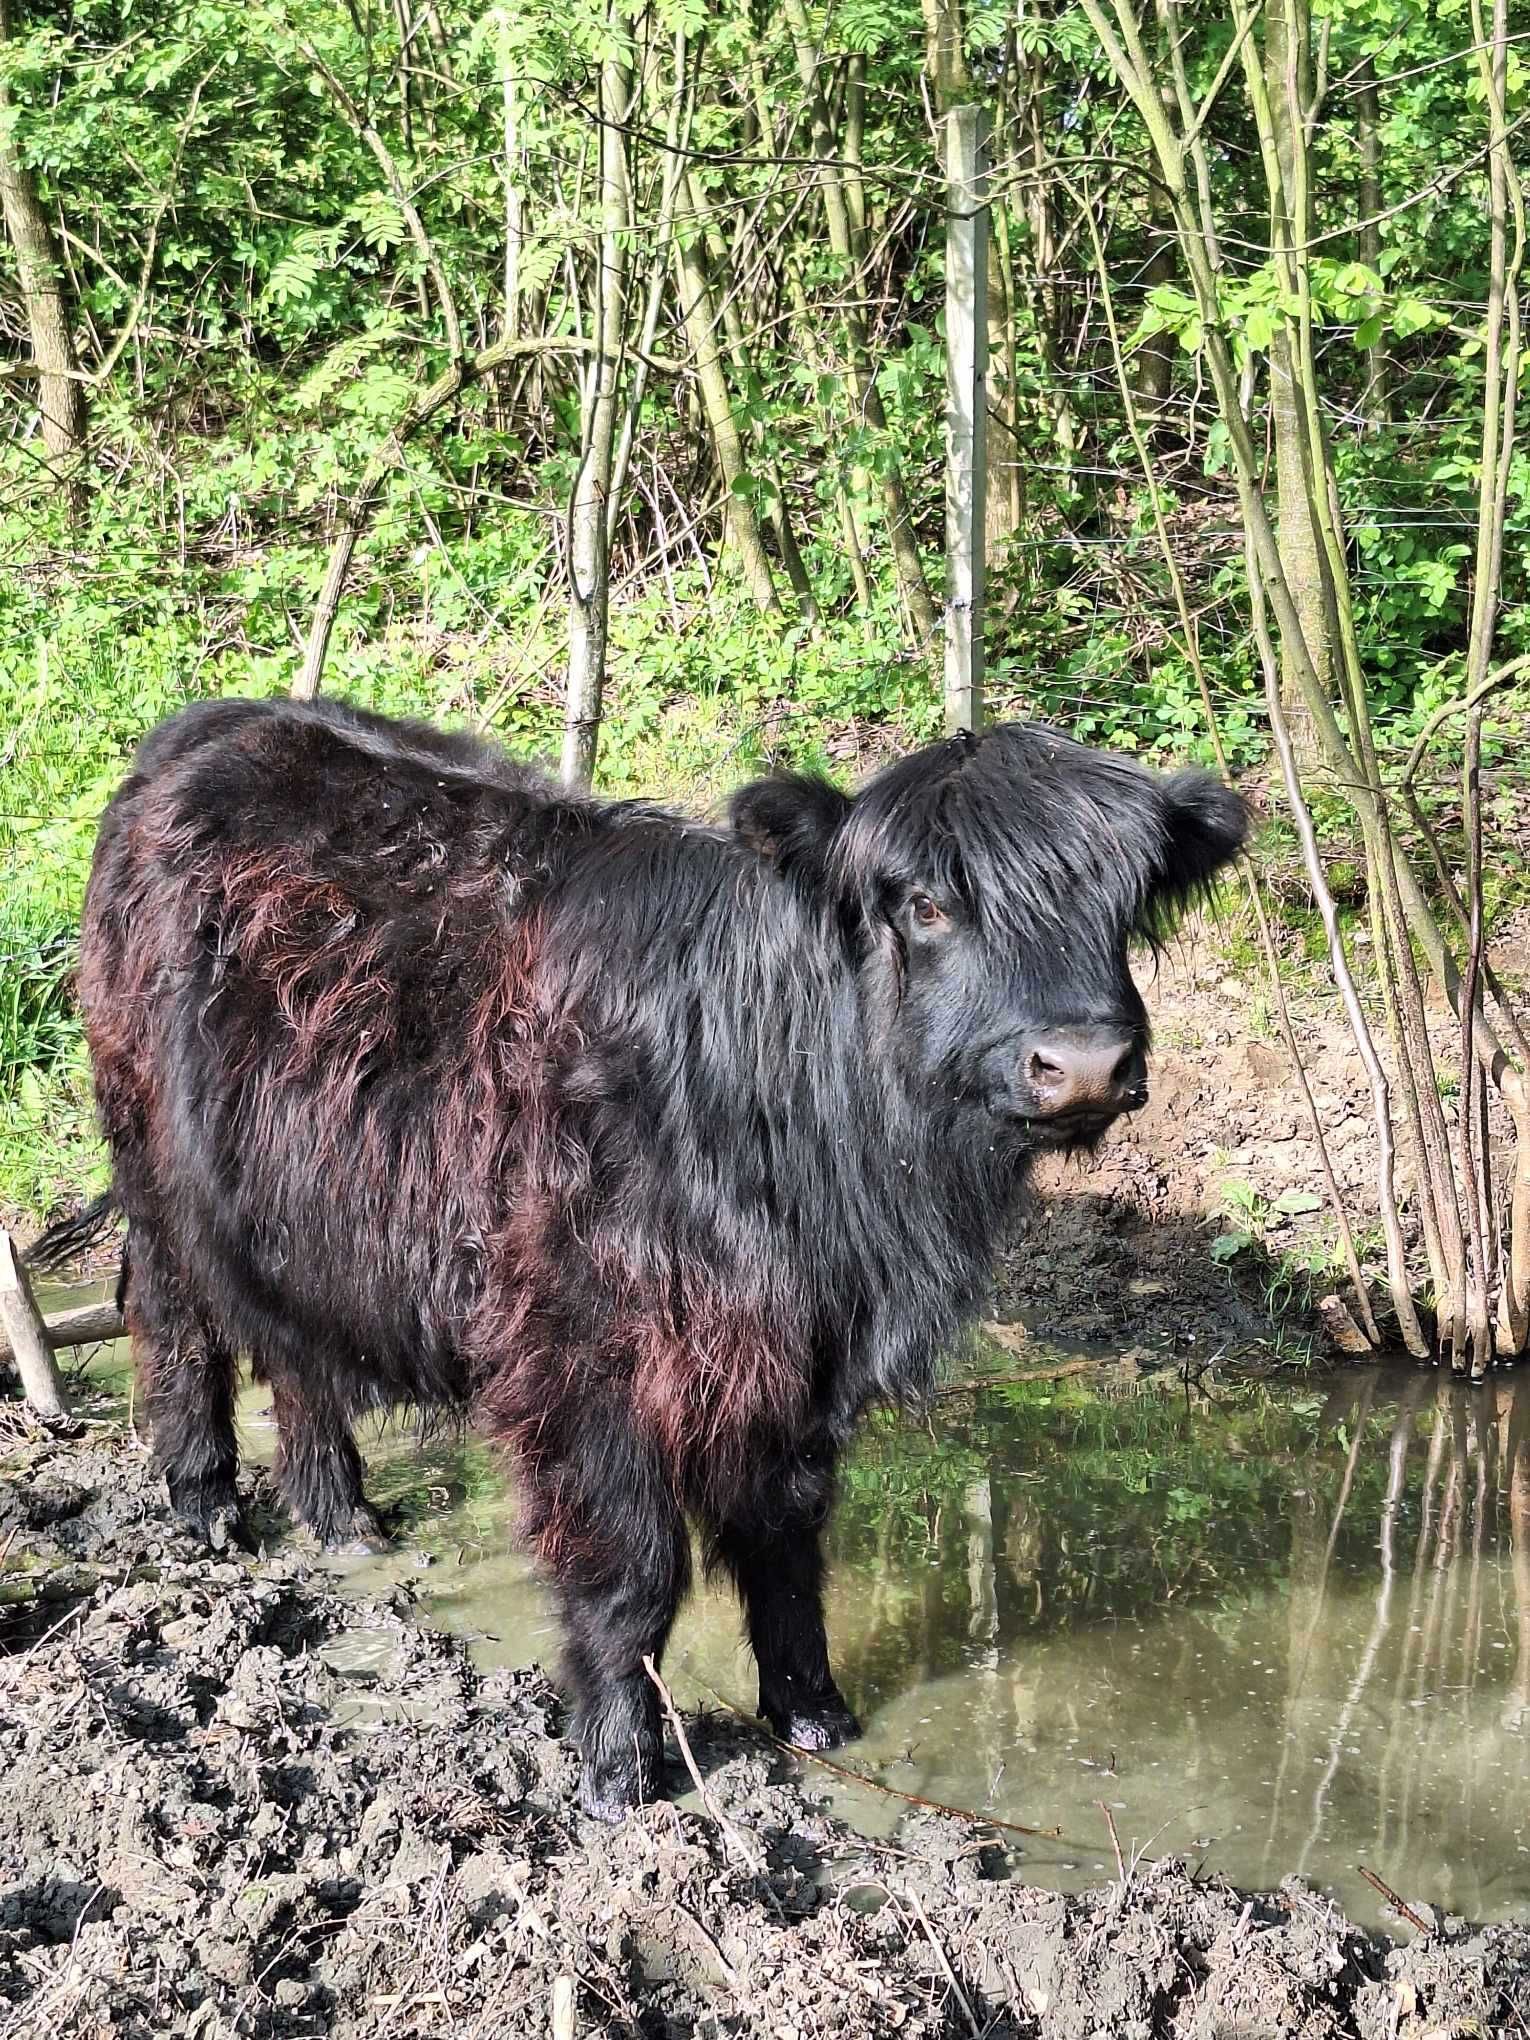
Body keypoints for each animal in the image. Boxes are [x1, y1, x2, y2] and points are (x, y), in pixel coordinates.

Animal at [41, 697, 1248, 1819]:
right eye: (927, 903)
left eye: (1120, 902)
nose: (1083, 1063)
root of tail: (214, 724)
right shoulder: (586, 1350)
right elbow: (632, 1569)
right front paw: (619, 1773)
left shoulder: (799, 1360)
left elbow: (785, 1540)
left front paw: (813, 1712)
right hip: (151, 1159)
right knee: (177, 1320)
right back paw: (205, 1503)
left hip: (299, 1202)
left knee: (296, 1347)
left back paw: (340, 1518)